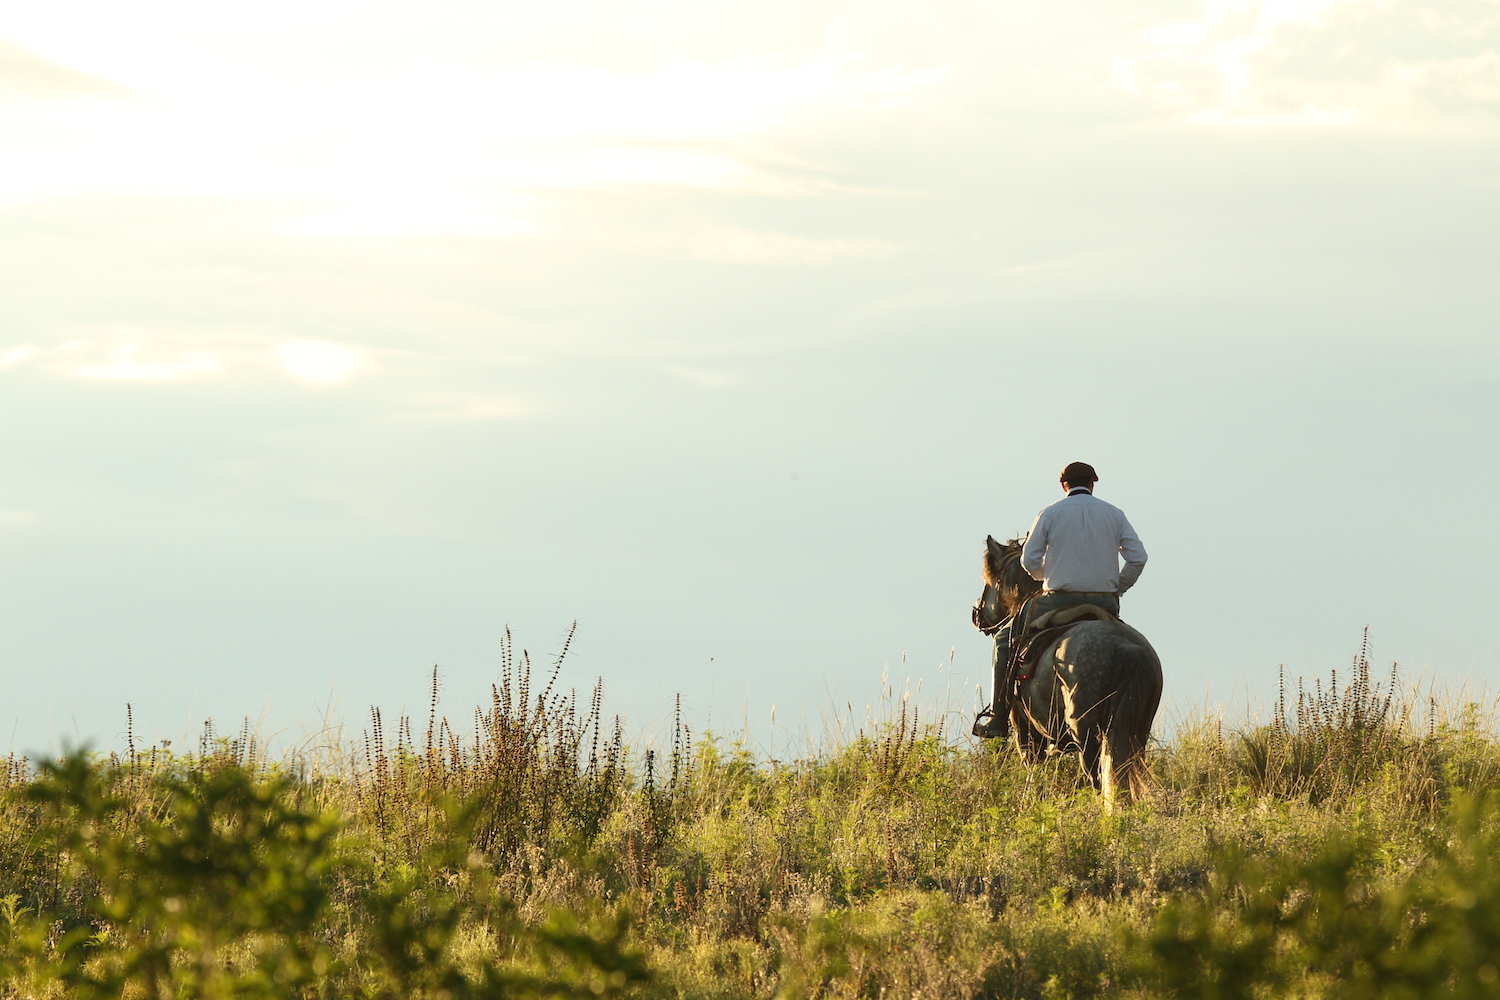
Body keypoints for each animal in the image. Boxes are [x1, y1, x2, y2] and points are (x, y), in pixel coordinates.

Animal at [966, 530, 1164, 803]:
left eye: (989, 579)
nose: (977, 614)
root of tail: (1127, 649)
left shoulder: (1026, 731)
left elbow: (1033, 774)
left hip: (1086, 732)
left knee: (1097, 779)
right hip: (1134, 733)